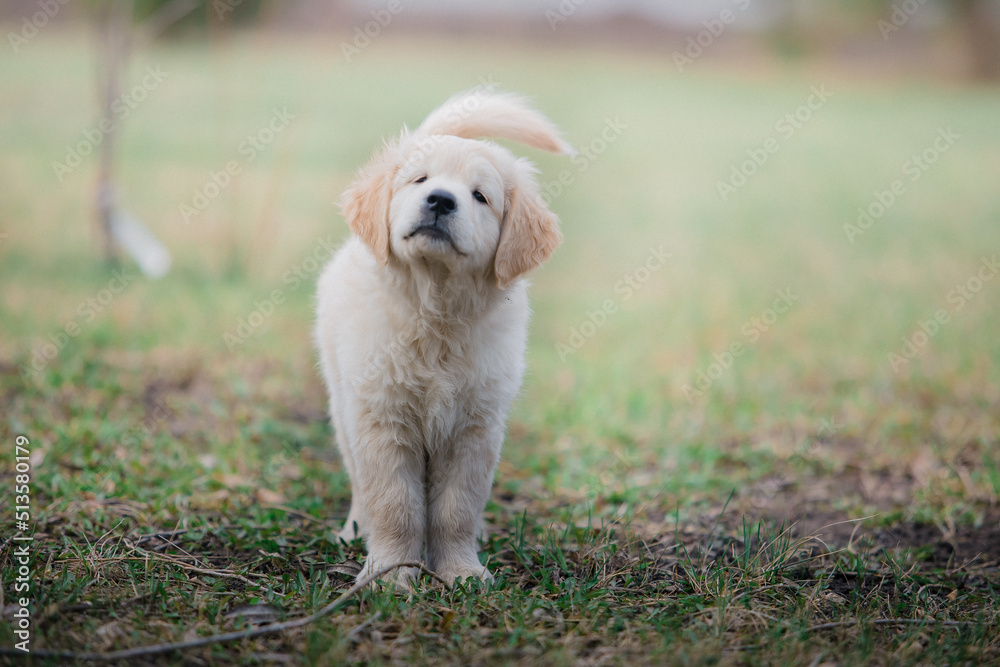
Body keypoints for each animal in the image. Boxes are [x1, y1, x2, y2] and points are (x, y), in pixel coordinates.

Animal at [316, 91, 576, 588]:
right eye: (420, 180)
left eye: (480, 196)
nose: (439, 199)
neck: (434, 314)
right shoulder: (382, 419)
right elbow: (395, 505)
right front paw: (391, 574)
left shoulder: (475, 429)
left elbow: (456, 509)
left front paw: (461, 570)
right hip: (343, 403)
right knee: (359, 482)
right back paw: (355, 530)